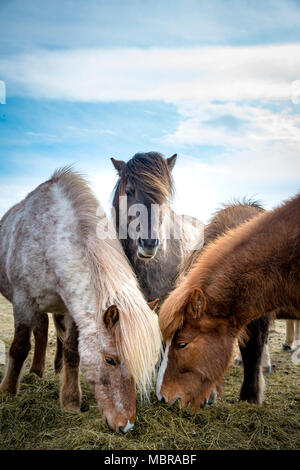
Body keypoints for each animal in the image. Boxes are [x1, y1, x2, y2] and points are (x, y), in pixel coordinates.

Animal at [0, 166, 162, 434]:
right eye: (110, 360)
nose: (126, 426)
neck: (49, 237)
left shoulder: (71, 309)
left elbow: (72, 352)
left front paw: (70, 402)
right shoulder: (23, 303)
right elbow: (19, 347)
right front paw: (8, 392)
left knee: (43, 329)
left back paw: (38, 372)